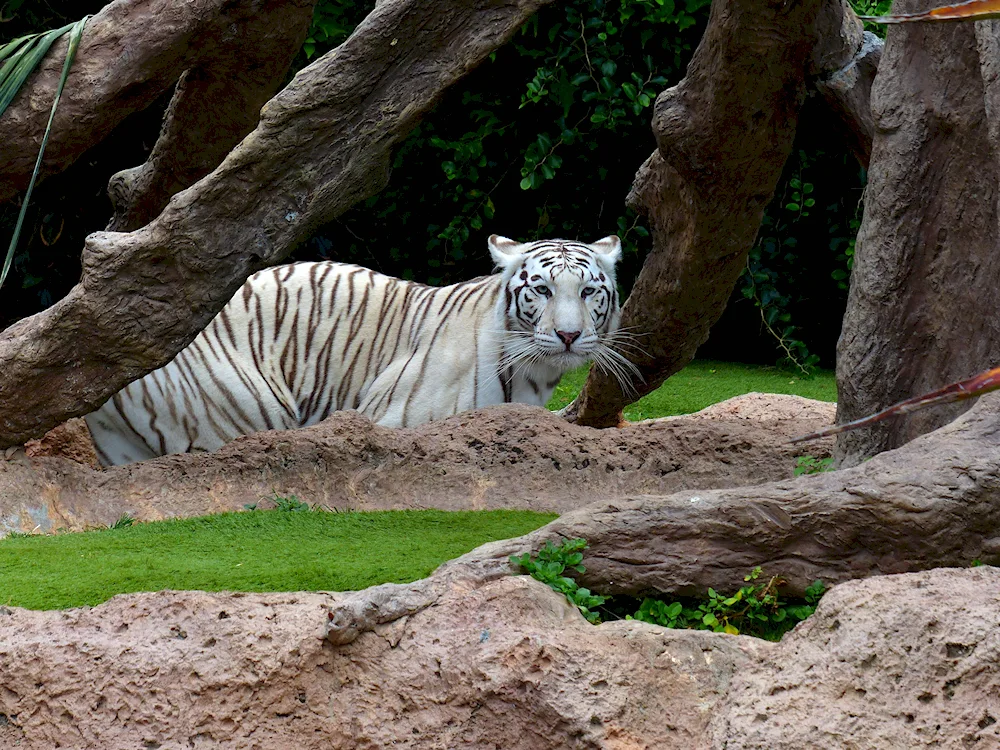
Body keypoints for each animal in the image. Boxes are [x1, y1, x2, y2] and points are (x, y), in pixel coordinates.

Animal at [84, 238, 632, 468]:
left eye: (588, 291)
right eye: (541, 289)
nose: (567, 336)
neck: (536, 375)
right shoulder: (396, 420)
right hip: (247, 412)